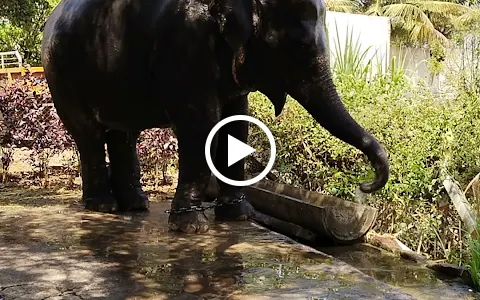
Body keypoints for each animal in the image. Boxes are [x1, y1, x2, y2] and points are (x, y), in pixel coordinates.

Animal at [41, 0, 390, 234]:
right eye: (299, 45)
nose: (366, 184)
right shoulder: (185, 46)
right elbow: (200, 122)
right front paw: (192, 227)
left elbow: (237, 121)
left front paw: (239, 216)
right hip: (60, 73)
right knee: (88, 133)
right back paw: (104, 206)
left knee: (122, 133)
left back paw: (136, 205)